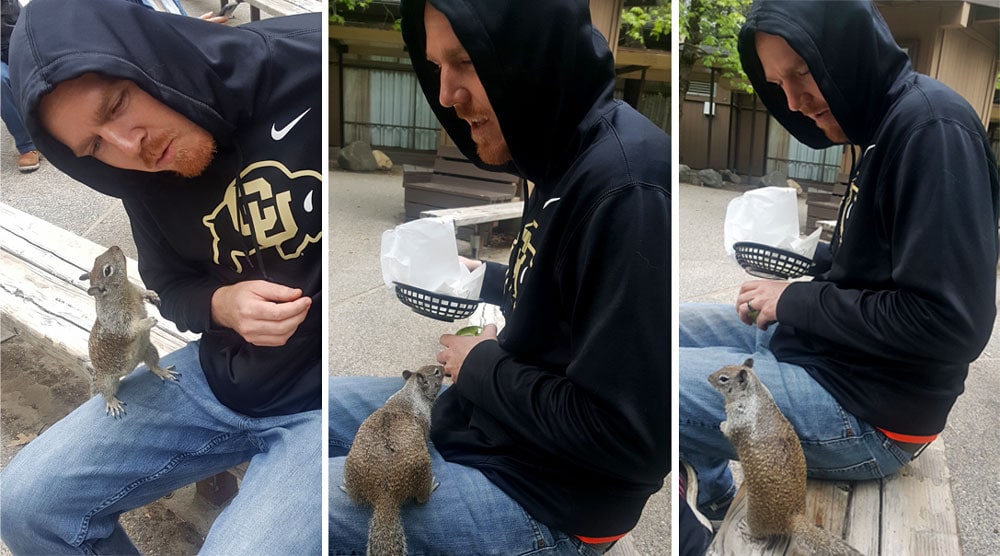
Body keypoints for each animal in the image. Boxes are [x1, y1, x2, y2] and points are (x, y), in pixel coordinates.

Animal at [80, 244, 180, 416]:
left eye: (97, 258)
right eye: (107, 270)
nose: (116, 247)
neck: (126, 290)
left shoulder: (137, 291)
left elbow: (144, 292)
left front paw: (153, 295)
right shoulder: (117, 322)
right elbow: (131, 329)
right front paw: (149, 321)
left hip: (149, 350)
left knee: (152, 366)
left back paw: (162, 371)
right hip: (107, 381)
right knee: (106, 393)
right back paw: (112, 403)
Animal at [344, 364, 442, 556]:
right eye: (436, 372)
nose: (444, 368)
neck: (409, 392)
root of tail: (385, 495)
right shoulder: (425, 422)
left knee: (357, 498)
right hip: (423, 469)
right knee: (421, 499)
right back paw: (430, 488)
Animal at [708, 358, 864, 552]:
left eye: (723, 378)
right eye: (724, 367)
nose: (708, 377)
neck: (755, 394)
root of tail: (792, 518)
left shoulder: (738, 417)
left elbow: (729, 429)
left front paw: (722, 425)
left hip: (755, 515)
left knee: (759, 533)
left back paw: (747, 528)